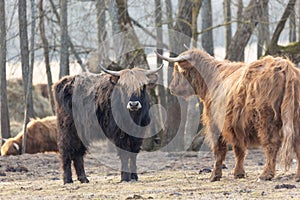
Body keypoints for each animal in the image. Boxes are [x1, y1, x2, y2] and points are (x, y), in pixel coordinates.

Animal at [156, 48, 300, 181]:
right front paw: (239, 173)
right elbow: (239, 150)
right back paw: (297, 175)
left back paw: (266, 174)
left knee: (271, 145)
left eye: (177, 70)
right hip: (295, 119)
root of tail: (285, 66)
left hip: (266, 119)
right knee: (297, 144)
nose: (171, 88)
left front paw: (215, 175)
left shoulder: (215, 123)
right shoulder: (236, 126)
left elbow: (219, 150)